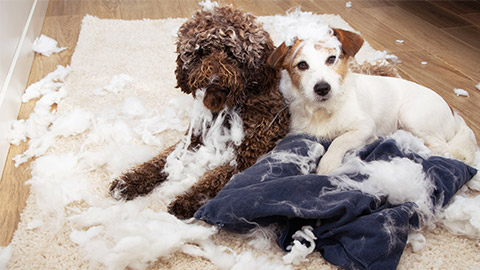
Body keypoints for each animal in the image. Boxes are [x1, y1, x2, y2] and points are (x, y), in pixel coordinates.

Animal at [268, 28, 478, 175]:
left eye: (332, 59)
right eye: (302, 65)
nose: (322, 88)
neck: (323, 111)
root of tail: (453, 113)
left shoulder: (364, 127)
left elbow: (339, 140)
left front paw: (328, 164)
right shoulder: (298, 132)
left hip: (410, 115)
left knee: (441, 147)